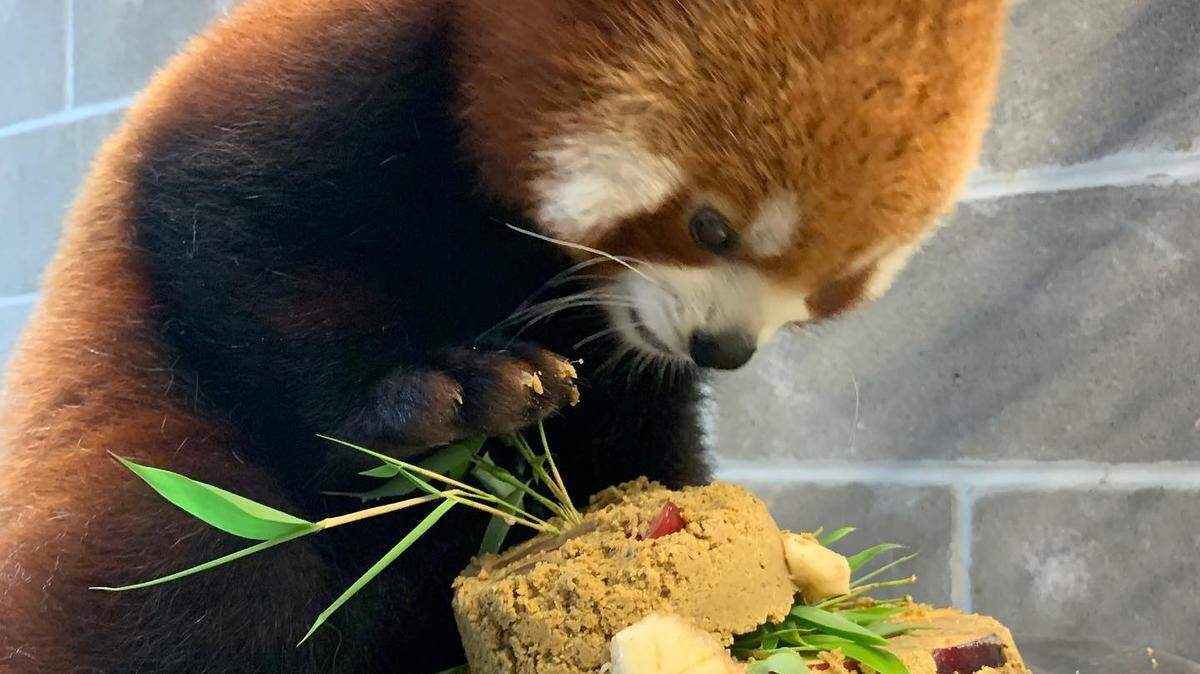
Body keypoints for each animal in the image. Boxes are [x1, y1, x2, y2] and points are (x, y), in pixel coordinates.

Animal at [0, 0, 1005, 671]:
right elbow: (232, 240)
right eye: (711, 226)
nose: (725, 348)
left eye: (842, 280)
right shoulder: (307, 91)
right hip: (129, 447)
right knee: (193, 572)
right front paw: (442, 395)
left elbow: (635, 431)